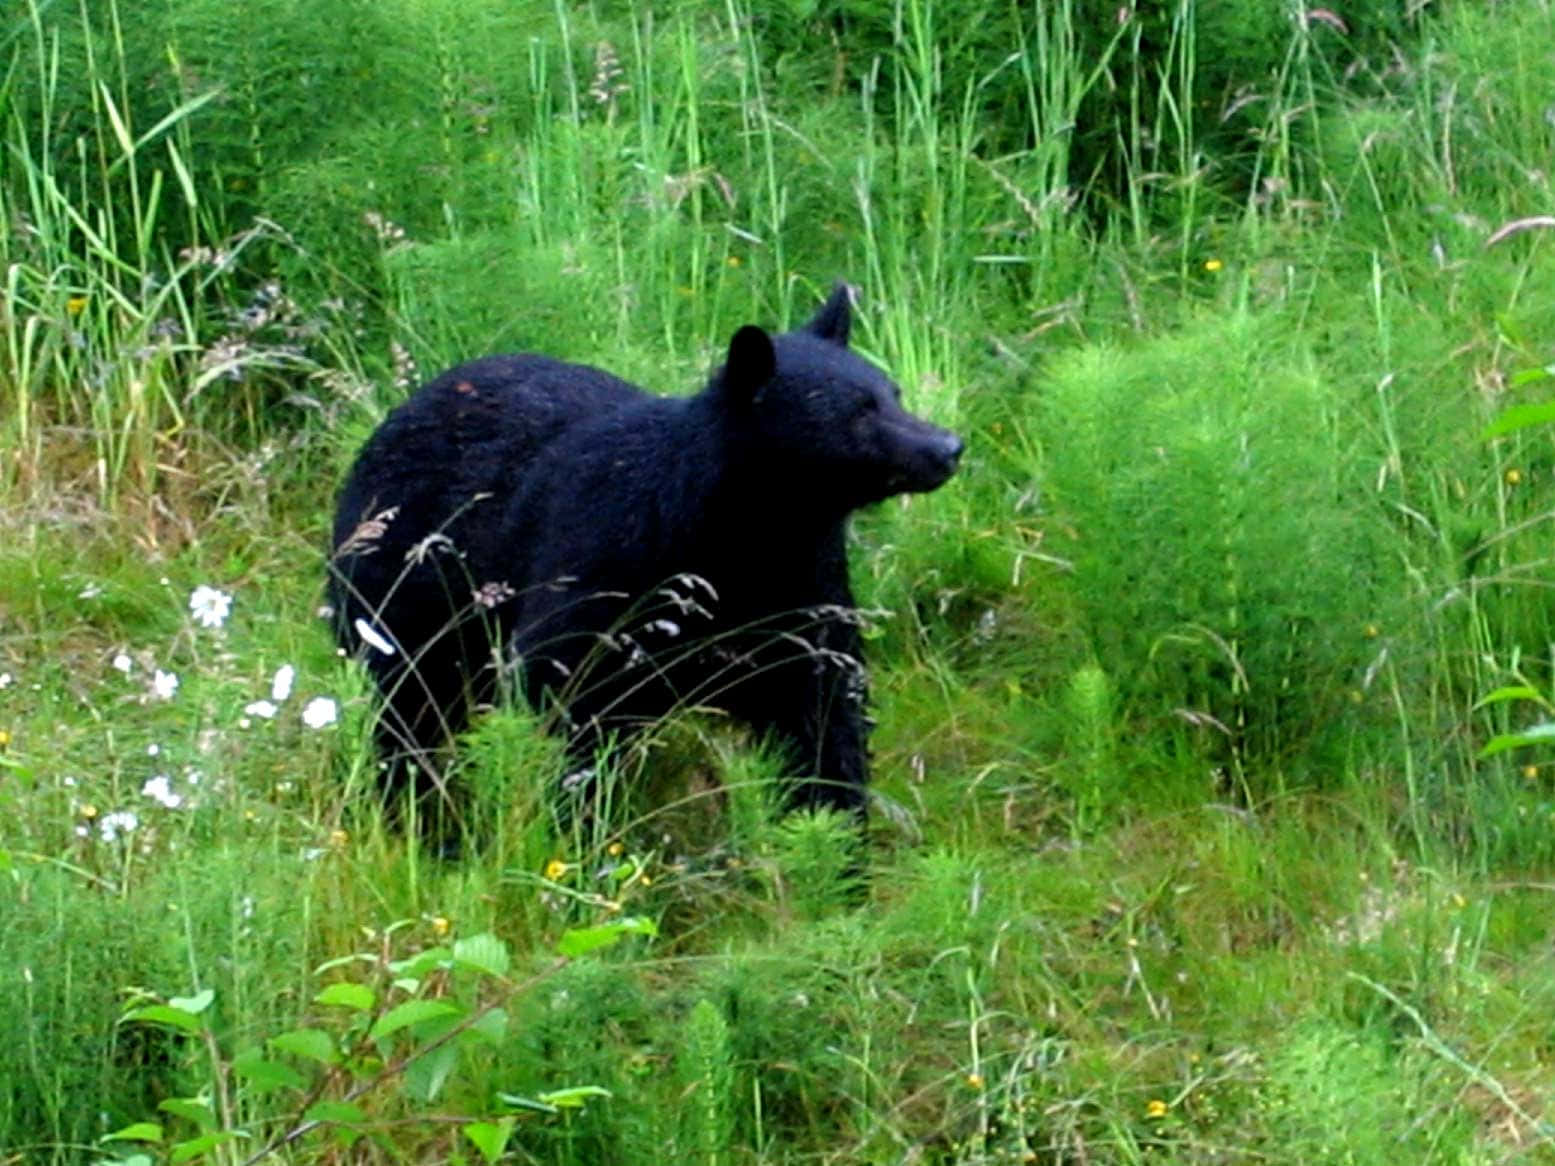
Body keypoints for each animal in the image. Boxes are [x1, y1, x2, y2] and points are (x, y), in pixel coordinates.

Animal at [328, 282, 962, 826]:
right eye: (859, 412)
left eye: (893, 393)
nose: (948, 446)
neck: (743, 535)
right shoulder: (607, 567)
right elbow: (566, 698)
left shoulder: (802, 586)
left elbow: (825, 714)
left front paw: (839, 845)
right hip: (400, 591)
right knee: (408, 711)